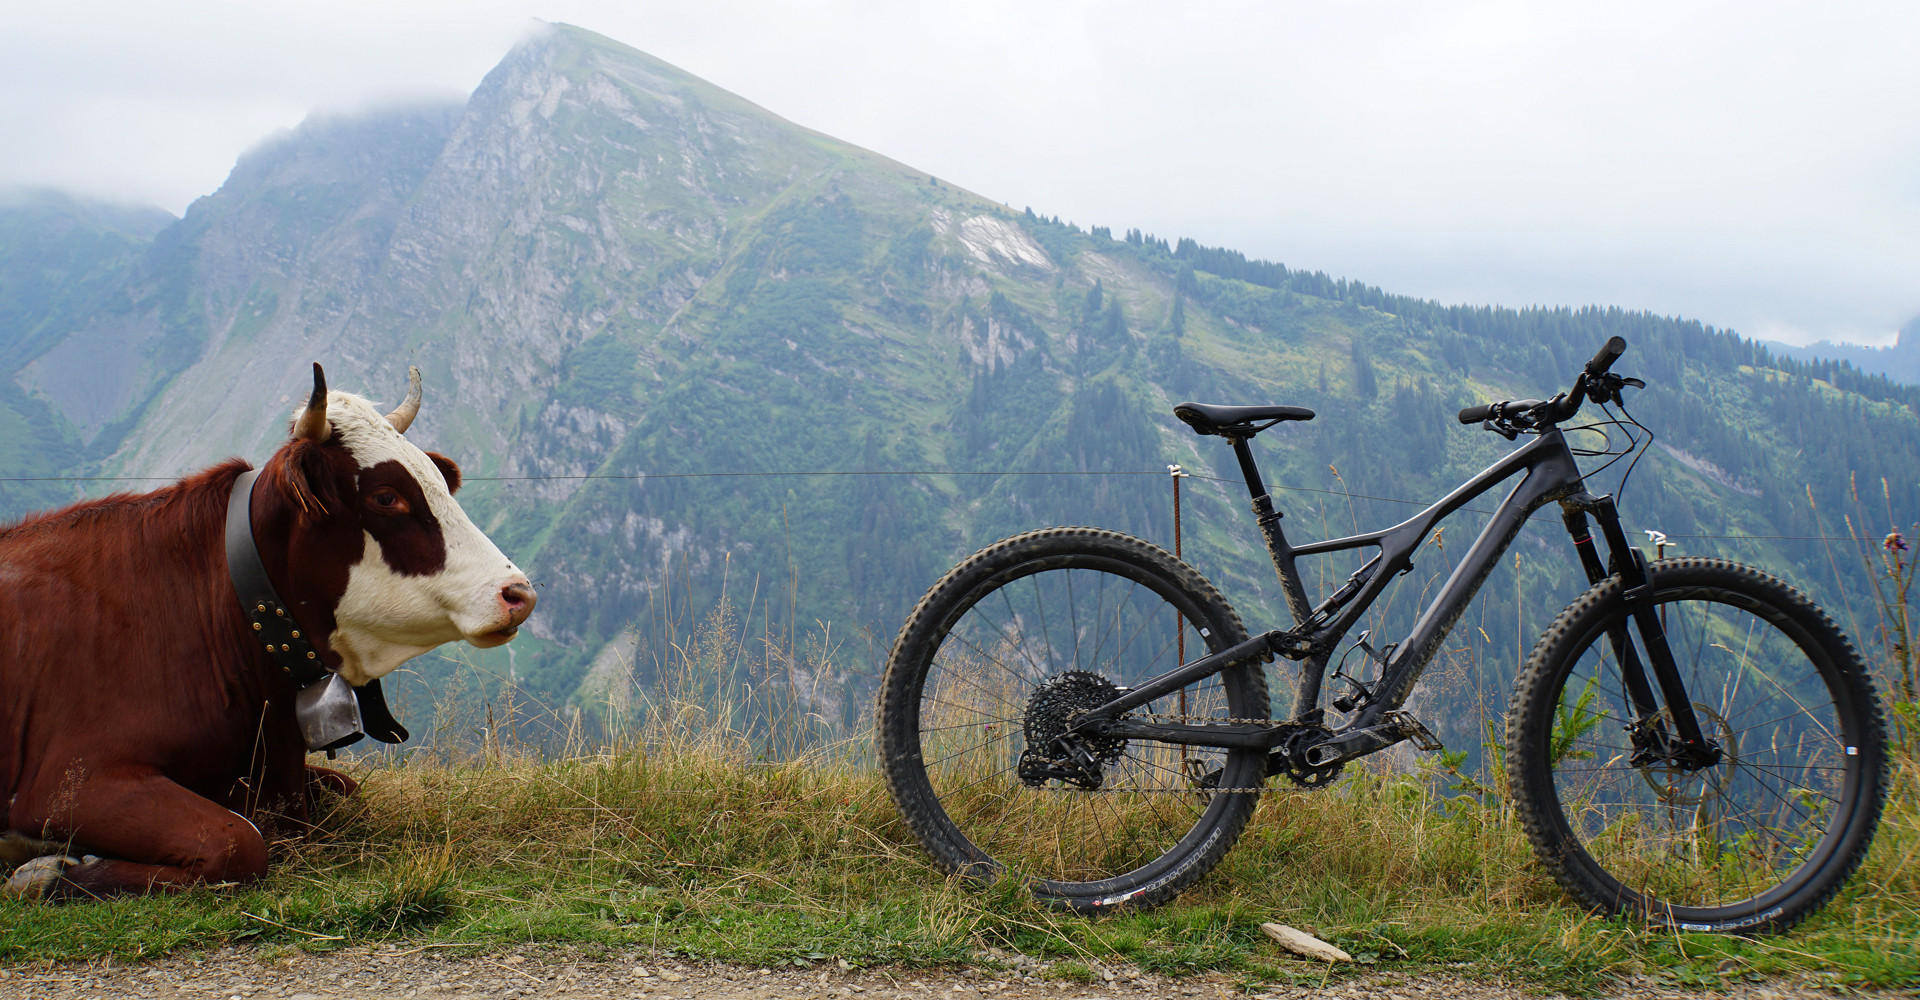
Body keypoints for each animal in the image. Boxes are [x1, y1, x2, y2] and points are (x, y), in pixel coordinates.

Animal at [0, 364, 529, 898]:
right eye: (386, 497)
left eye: (440, 482)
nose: (519, 593)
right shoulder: (69, 782)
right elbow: (240, 843)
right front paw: (43, 872)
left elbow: (347, 789)